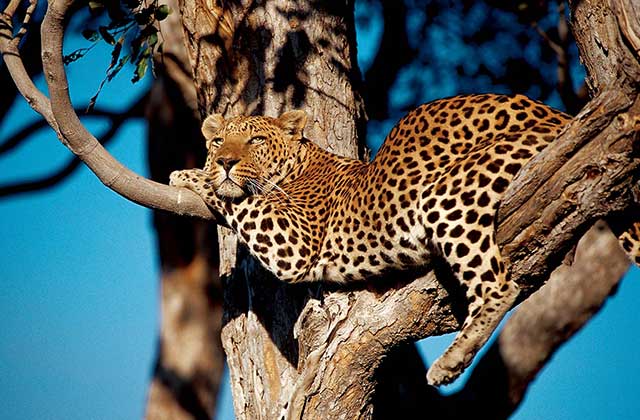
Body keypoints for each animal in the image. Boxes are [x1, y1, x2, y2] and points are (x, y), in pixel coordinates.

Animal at [170, 93, 640, 386]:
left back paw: (451, 361)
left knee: (499, 286)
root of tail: (560, 114)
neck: (302, 163)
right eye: (217, 140)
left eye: (255, 140)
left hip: (449, 195)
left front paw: (192, 175)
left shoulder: (294, 242)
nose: (225, 161)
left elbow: (241, 199)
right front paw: (199, 171)